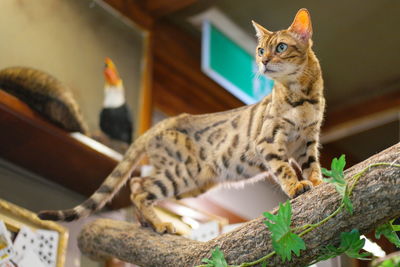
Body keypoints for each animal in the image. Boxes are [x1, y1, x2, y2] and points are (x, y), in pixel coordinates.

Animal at [38, 8, 324, 234]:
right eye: (261, 49)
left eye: (281, 47)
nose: (263, 62)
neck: (303, 98)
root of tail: (161, 123)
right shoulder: (268, 141)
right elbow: (284, 169)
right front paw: (296, 186)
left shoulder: (307, 142)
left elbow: (313, 167)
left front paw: (321, 184)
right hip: (184, 172)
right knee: (140, 188)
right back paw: (159, 224)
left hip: (193, 182)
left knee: (137, 183)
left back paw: (147, 223)